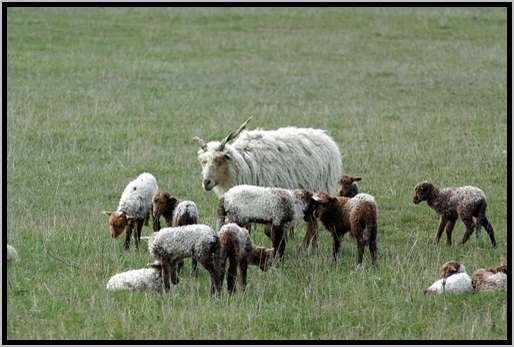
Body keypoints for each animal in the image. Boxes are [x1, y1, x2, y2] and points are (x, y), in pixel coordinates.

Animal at [192, 117, 340, 247]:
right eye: (203, 161)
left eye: (219, 160)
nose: (206, 182)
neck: (242, 163)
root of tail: (327, 138)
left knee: (313, 224)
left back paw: (308, 248)